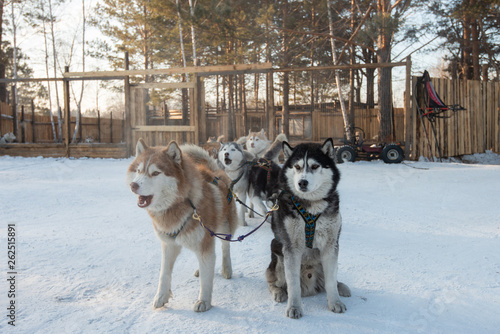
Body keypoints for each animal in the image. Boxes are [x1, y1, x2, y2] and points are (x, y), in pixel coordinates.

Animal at [128, 138, 239, 314]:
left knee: (224, 248)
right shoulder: (169, 244)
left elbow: (206, 280)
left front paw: (204, 301)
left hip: (225, 228)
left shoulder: (204, 243)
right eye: (139, 171)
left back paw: (226, 268)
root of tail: (215, 171)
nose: (133, 185)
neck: (183, 204)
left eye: (155, 173)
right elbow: (164, 273)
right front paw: (161, 296)